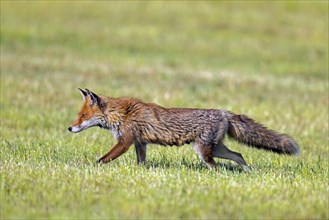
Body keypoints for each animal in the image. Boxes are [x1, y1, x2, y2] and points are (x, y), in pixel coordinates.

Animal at [68, 88, 298, 169]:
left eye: (83, 116)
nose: (70, 128)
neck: (122, 113)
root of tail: (223, 112)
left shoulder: (125, 141)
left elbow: (103, 158)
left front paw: (91, 167)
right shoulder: (140, 143)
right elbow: (141, 162)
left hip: (204, 151)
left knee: (216, 165)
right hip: (217, 148)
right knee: (239, 155)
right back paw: (247, 171)